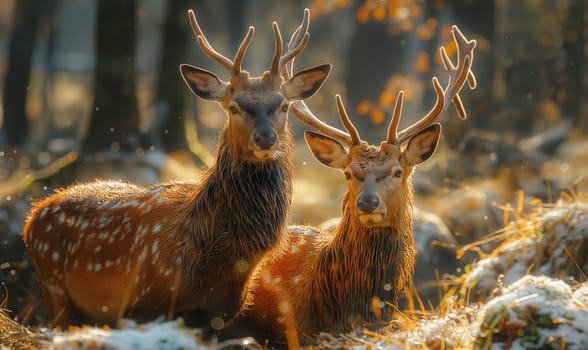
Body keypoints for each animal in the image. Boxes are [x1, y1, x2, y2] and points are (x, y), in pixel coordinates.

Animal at [21, 8, 330, 330]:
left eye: (283, 105)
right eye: (234, 106)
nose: (266, 137)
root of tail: (32, 216)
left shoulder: (220, 313)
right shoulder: (142, 301)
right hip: (55, 290)